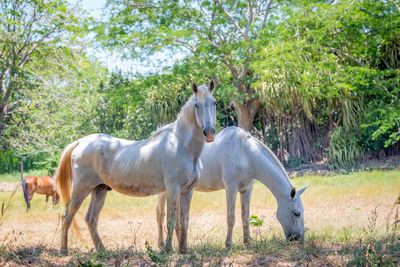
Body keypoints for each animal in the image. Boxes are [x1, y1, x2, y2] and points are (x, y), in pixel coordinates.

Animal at [55, 80, 217, 254]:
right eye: (196, 105)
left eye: (214, 102)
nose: (209, 132)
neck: (181, 146)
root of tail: (81, 142)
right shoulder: (173, 189)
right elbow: (171, 221)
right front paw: (168, 251)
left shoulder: (187, 191)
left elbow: (184, 221)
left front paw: (183, 250)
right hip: (81, 189)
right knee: (66, 217)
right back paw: (64, 250)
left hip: (99, 190)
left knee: (91, 219)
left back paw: (102, 250)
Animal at [156, 127, 306, 249]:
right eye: (296, 213)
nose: (298, 238)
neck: (244, 153)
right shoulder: (231, 188)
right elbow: (231, 217)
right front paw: (228, 244)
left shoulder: (247, 189)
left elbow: (245, 217)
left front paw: (248, 242)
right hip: (165, 191)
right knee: (160, 214)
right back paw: (162, 245)